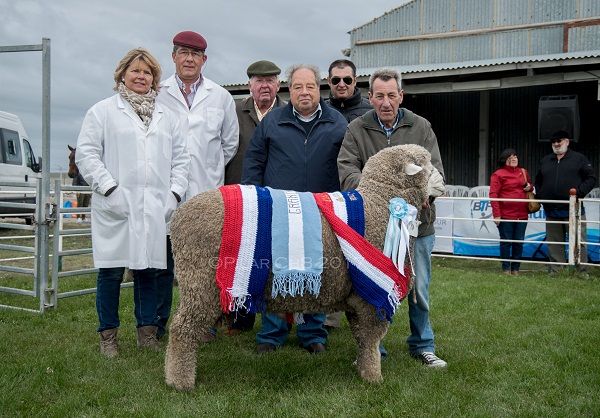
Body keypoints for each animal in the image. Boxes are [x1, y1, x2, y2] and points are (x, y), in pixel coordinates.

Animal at [166, 145, 434, 392]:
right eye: (429, 166)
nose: (440, 182)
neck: (379, 204)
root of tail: (179, 215)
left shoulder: (357, 296)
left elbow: (361, 338)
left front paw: (362, 369)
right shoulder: (371, 293)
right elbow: (370, 339)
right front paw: (373, 378)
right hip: (201, 282)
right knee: (181, 330)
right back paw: (180, 382)